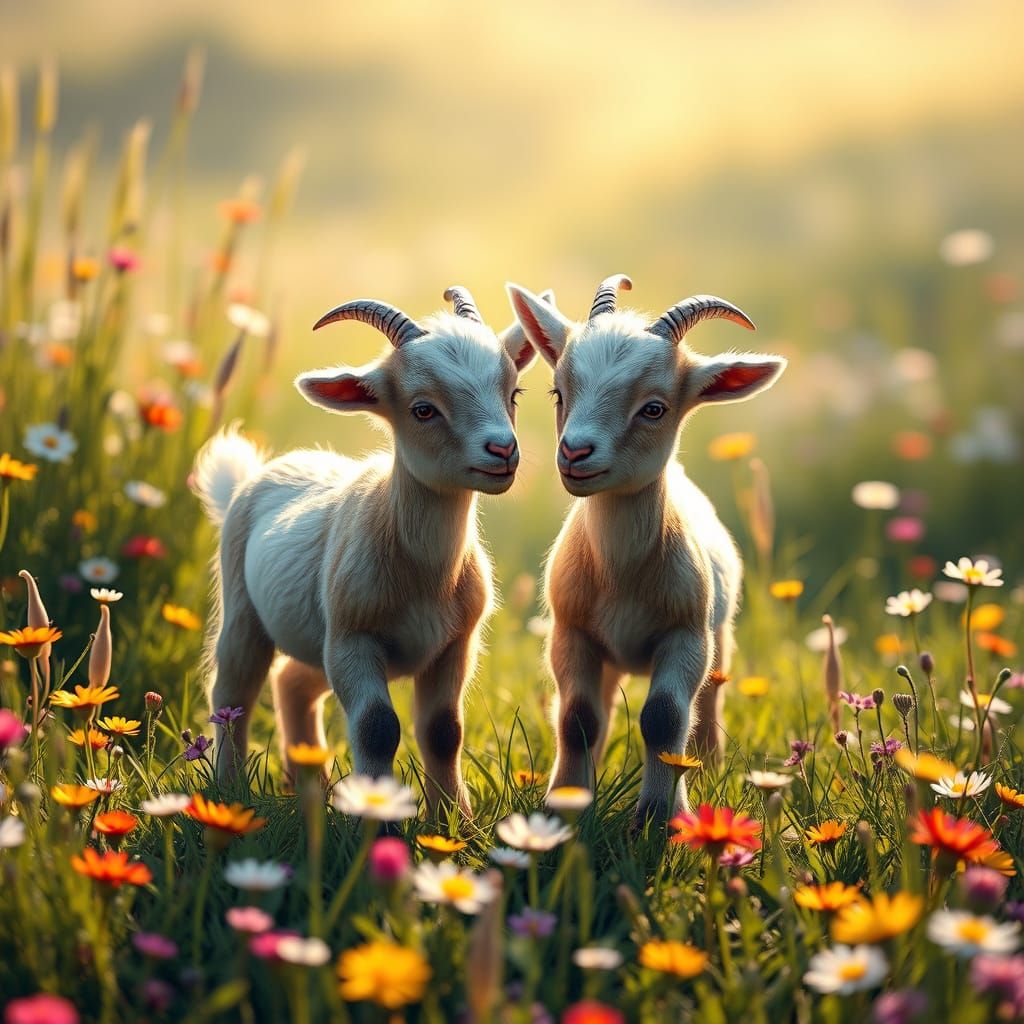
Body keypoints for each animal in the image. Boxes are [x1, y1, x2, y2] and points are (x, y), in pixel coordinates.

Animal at [193, 286, 538, 816]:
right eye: (423, 409)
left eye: (513, 393)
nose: (502, 451)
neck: (425, 573)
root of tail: (252, 477)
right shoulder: (353, 639)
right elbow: (377, 726)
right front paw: (379, 817)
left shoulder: (454, 643)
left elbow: (444, 731)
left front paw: (454, 820)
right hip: (245, 609)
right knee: (233, 692)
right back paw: (231, 792)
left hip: (315, 641)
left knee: (291, 683)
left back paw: (312, 791)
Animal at [507, 275, 786, 820]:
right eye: (558, 392)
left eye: (654, 408)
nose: (574, 452)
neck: (621, 574)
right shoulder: (571, 632)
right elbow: (577, 717)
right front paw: (565, 804)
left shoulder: (686, 634)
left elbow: (664, 717)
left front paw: (662, 815)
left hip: (719, 636)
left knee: (709, 702)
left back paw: (708, 767)